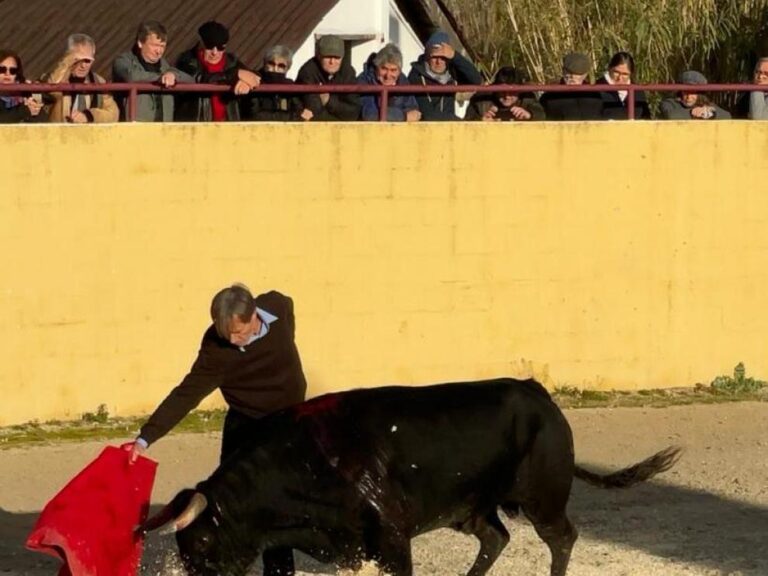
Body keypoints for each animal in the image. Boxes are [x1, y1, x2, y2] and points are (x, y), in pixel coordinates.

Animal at [141, 378, 680, 576]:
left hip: (541, 498)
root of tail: (540, 394)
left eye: (201, 544)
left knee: (561, 536)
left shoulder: (391, 534)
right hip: (471, 507)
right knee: (496, 537)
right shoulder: (352, 543)